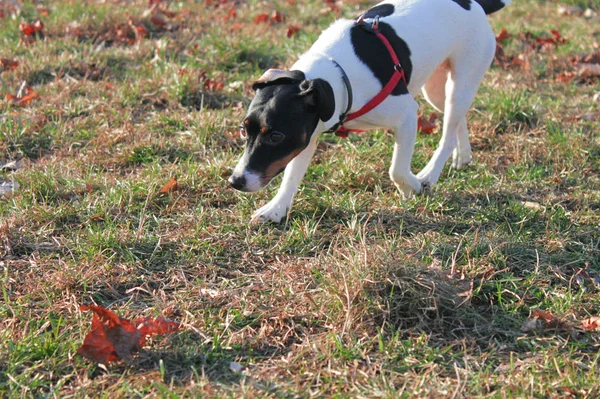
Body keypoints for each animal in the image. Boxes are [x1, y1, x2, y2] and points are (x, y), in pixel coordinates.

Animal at [230, 0, 510, 225]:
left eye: (275, 136)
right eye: (243, 130)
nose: (235, 181)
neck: (339, 74)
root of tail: (474, 4)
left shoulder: (407, 115)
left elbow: (396, 169)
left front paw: (413, 186)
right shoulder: (307, 136)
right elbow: (291, 176)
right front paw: (275, 209)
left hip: (461, 81)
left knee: (448, 133)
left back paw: (429, 174)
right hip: (437, 91)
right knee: (458, 121)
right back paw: (463, 156)